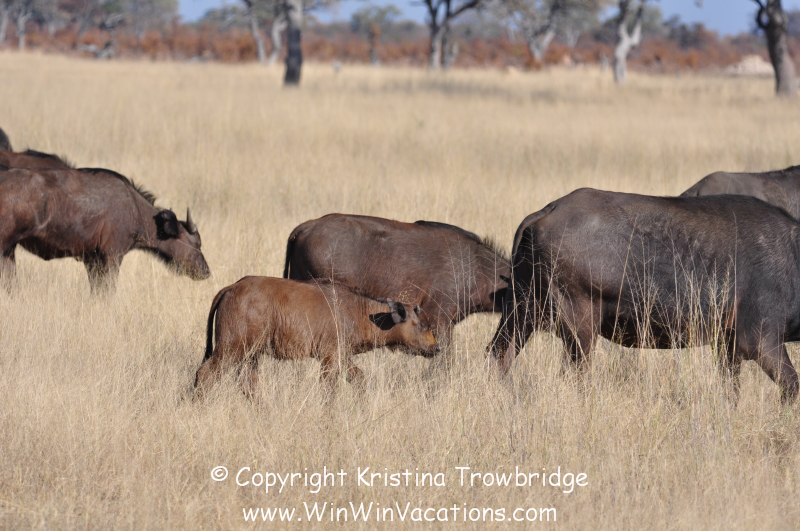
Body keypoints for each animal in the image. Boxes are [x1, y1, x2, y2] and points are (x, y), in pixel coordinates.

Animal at [0, 167, 210, 292]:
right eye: (196, 243)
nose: (206, 272)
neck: (134, 207)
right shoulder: (112, 257)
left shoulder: (92, 260)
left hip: (9, 253)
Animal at [193, 276, 440, 398]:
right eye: (422, 325)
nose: (437, 348)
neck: (361, 312)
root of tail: (231, 288)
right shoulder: (329, 359)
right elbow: (330, 388)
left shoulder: (342, 358)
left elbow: (359, 378)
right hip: (231, 350)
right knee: (205, 374)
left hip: (250, 356)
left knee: (248, 384)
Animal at [490, 188, 799, 403]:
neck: (793, 256)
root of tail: (547, 211)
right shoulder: (758, 341)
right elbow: (793, 386)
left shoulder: (727, 348)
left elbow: (731, 393)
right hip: (579, 329)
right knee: (574, 376)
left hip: (521, 313)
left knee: (498, 356)